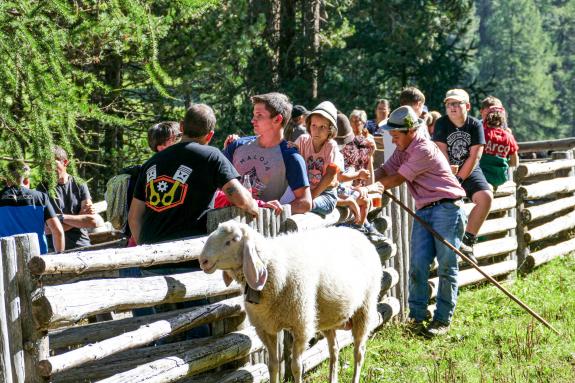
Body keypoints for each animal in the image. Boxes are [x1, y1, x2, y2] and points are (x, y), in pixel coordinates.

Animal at [198, 219, 382, 383]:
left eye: (233, 240)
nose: (202, 261)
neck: (272, 268)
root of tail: (357, 233)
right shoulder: (266, 328)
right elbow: (272, 366)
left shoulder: (301, 326)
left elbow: (296, 367)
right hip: (324, 316)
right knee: (334, 350)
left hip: (364, 308)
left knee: (359, 352)